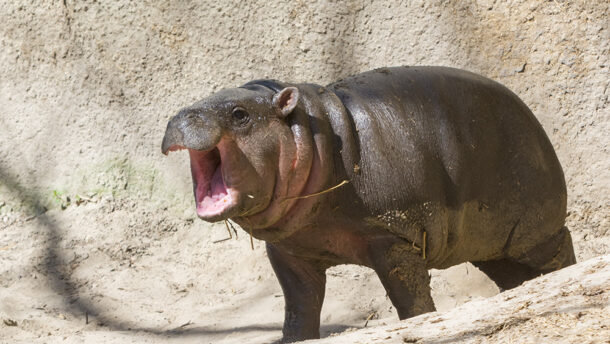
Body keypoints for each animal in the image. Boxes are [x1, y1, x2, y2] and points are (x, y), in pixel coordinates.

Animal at [159, 66, 572, 342]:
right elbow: (299, 308)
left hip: (534, 231)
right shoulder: (289, 250)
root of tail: (531, 116)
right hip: (491, 243)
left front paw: (420, 325)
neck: (313, 137)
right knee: (512, 274)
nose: (180, 116)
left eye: (240, 114)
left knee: (559, 249)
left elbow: (410, 297)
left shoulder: (392, 237)